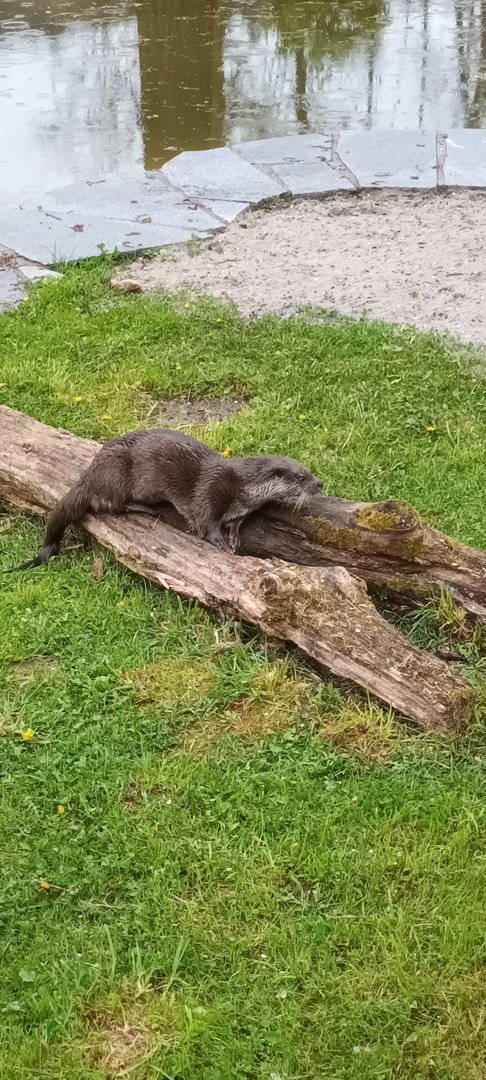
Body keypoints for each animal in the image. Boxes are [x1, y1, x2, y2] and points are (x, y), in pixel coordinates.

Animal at [6, 428, 323, 570]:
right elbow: (205, 520)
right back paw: (144, 508)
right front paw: (219, 541)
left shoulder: (243, 507)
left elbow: (237, 521)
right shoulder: (212, 489)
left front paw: (233, 536)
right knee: (108, 505)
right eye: (301, 477)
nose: (320, 483)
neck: (242, 488)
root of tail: (90, 472)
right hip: (116, 472)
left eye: (309, 470)